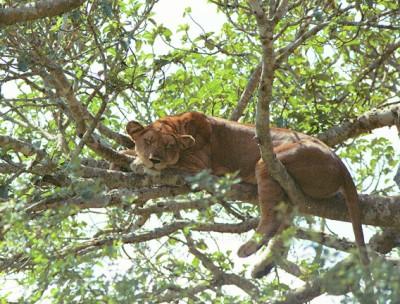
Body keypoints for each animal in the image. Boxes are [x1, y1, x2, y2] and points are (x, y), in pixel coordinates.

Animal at [124, 111, 368, 270]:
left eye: (169, 146)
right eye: (148, 140)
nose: (155, 159)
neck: (178, 125)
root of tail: (340, 163)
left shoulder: (198, 166)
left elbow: (169, 166)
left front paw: (139, 163)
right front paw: (127, 156)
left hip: (269, 162)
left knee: (271, 219)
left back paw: (248, 249)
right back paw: (263, 267)